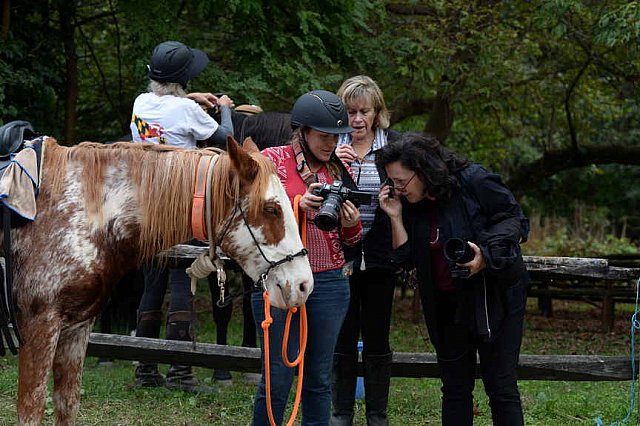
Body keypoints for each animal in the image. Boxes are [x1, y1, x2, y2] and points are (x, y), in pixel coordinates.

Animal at [7, 136, 312, 426]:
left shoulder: (75, 330)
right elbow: (31, 412)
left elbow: (67, 407)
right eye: (271, 209)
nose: (303, 285)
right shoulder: (39, 328)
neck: (80, 214)